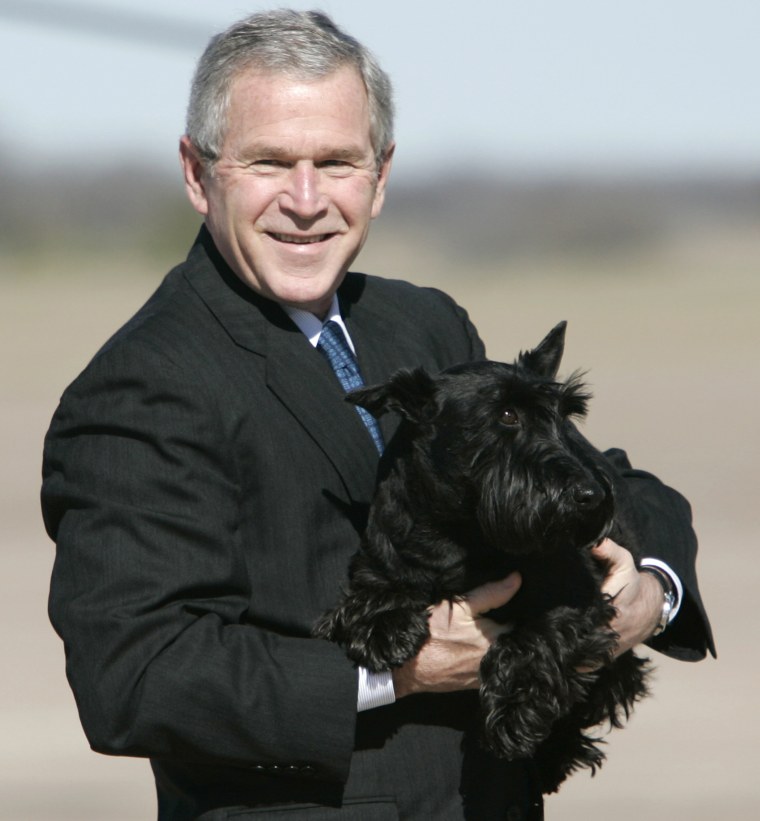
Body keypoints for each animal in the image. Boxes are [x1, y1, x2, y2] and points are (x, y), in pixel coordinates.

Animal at [314, 322, 648, 796]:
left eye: (564, 415)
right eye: (506, 415)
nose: (592, 496)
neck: (460, 531)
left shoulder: (578, 602)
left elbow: (532, 641)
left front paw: (513, 713)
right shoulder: (381, 559)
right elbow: (380, 584)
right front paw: (381, 624)